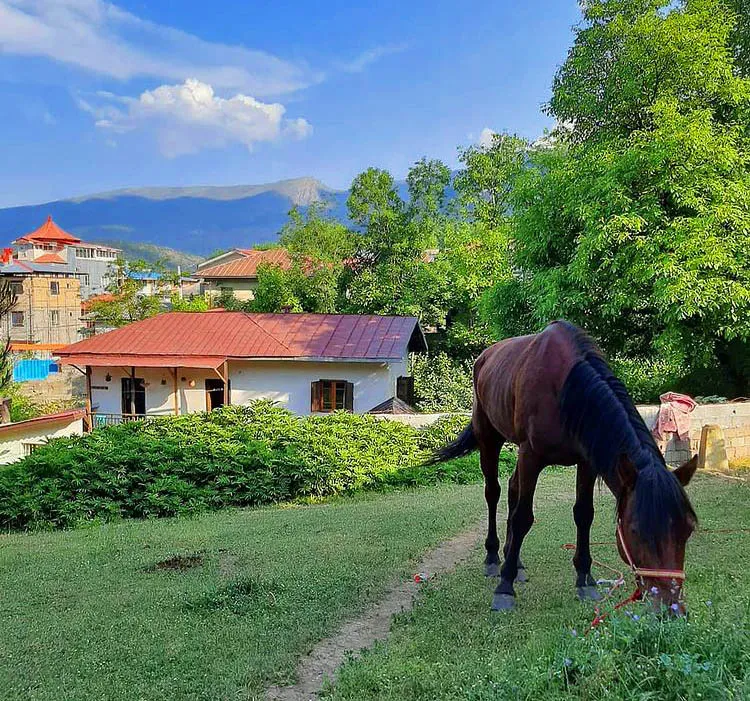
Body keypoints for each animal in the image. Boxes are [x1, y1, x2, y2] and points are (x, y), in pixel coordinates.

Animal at [432, 320, 704, 608]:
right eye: (636, 530)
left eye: (688, 529)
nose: (671, 606)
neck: (566, 391)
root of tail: (484, 357)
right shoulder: (531, 456)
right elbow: (522, 517)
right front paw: (504, 587)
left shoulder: (587, 462)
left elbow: (583, 514)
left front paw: (585, 579)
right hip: (489, 438)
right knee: (493, 493)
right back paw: (494, 558)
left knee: (513, 488)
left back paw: (515, 561)